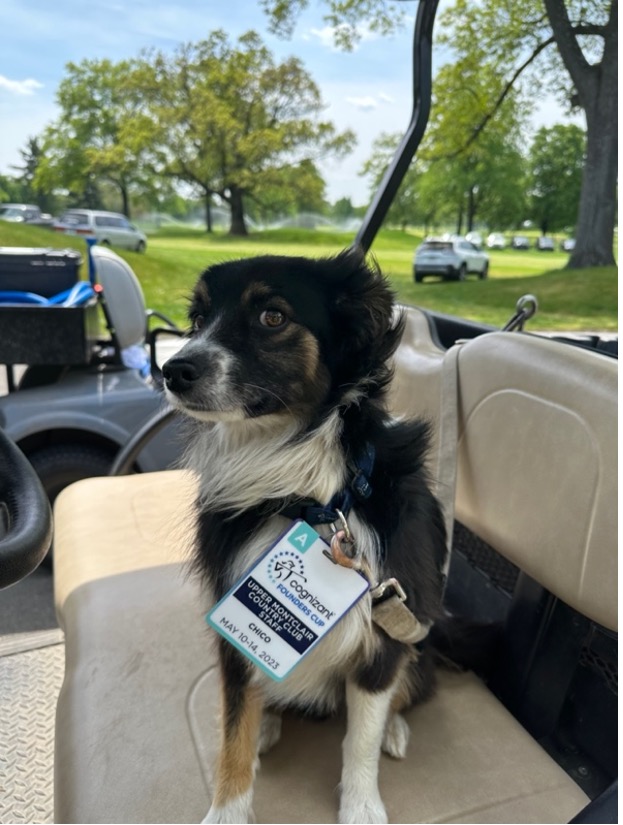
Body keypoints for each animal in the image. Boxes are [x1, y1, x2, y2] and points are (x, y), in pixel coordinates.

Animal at [163, 251, 448, 824]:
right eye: (198, 319)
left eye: (272, 316)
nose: (173, 370)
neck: (309, 497)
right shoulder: (233, 620)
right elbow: (234, 730)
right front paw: (227, 809)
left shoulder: (384, 629)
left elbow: (360, 737)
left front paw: (361, 805)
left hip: (418, 638)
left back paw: (395, 727)